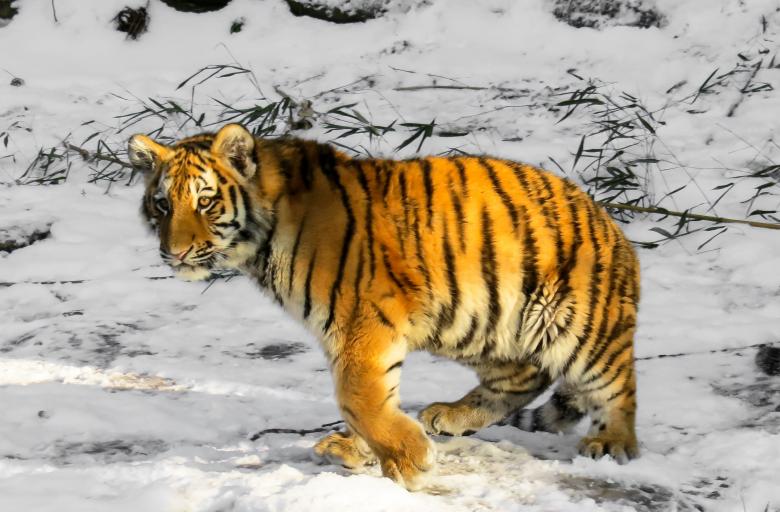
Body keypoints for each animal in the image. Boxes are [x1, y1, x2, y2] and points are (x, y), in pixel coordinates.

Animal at [128, 123, 640, 490]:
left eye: (206, 202)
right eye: (162, 204)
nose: (173, 253)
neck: (262, 242)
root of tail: (609, 222)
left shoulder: (364, 320)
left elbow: (357, 395)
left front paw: (409, 463)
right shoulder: (353, 331)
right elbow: (370, 399)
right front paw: (361, 450)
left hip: (579, 327)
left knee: (617, 387)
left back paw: (611, 443)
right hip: (476, 323)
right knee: (523, 376)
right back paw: (451, 416)